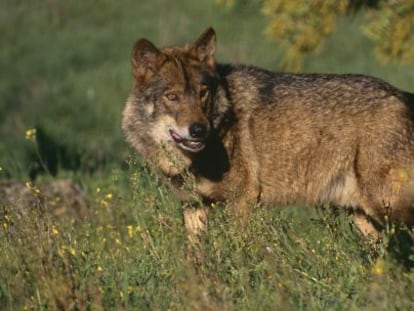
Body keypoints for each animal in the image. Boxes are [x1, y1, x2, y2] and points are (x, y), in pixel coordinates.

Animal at [122, 28, 414, 240]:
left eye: (202, 93)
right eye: (172, 97)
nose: (198, 129)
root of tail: (402, 95)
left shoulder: (242, 202)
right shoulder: (193, 207)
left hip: (387, 210)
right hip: (360, 214)